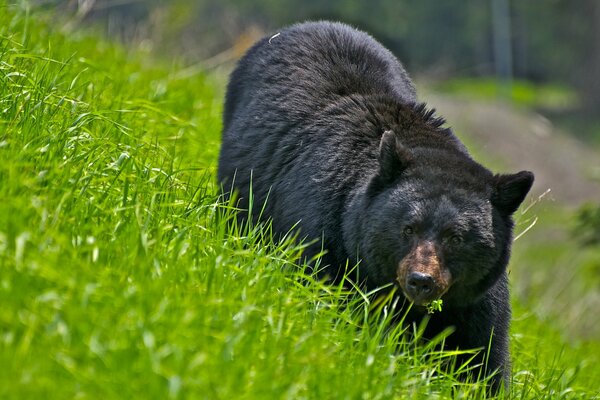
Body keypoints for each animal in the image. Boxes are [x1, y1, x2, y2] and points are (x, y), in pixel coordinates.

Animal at [219, 21, 536, 390]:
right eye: (408, 228)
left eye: (456, 238)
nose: (421, 280)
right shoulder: (326, 238)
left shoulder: (475, 299)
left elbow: (483, 354)